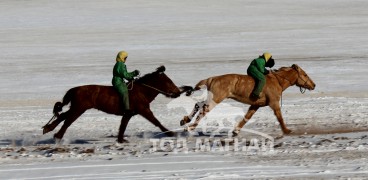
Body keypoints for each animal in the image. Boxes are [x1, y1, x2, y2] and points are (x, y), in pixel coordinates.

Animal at [42, 65, 191, 143]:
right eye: (168, 81)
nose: (178, 92)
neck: (142, 91)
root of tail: (75, 89)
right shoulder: (144, 110)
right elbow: (157, 122)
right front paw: (171, 133)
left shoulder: (128, 114)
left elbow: (122, 126)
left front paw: (121, 140)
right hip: (79, 108)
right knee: (67, 120)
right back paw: (57, 136)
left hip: (77, 108)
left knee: (62, 116)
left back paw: (48, 128)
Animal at [180, 64, 314, 136]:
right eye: (305, 75)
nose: (314, 85)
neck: (278, 81)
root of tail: (211, 78)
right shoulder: (274, 103)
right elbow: (279, 117)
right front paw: (287, 130)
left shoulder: (255, 105)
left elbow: (246, 118)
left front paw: (235, 131)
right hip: (216, 99)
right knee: (203, 110)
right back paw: (190, 127)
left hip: (211, 98)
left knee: (198, 104)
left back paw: (185, 120)